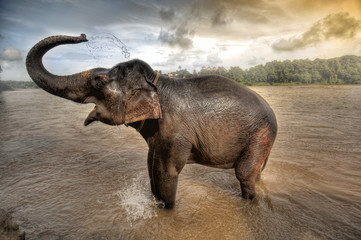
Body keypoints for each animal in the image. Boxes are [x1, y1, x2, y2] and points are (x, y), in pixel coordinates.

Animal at [26, 33, 278, 208]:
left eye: (99, 81)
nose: (83, 36)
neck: (157, 81)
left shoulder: (174, 132)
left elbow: (165, 173)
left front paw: (166, 211)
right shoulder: (157, 135)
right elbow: (150, 168)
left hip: (260, 135)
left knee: (244, 174)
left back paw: (248, 201)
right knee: (256, 172)